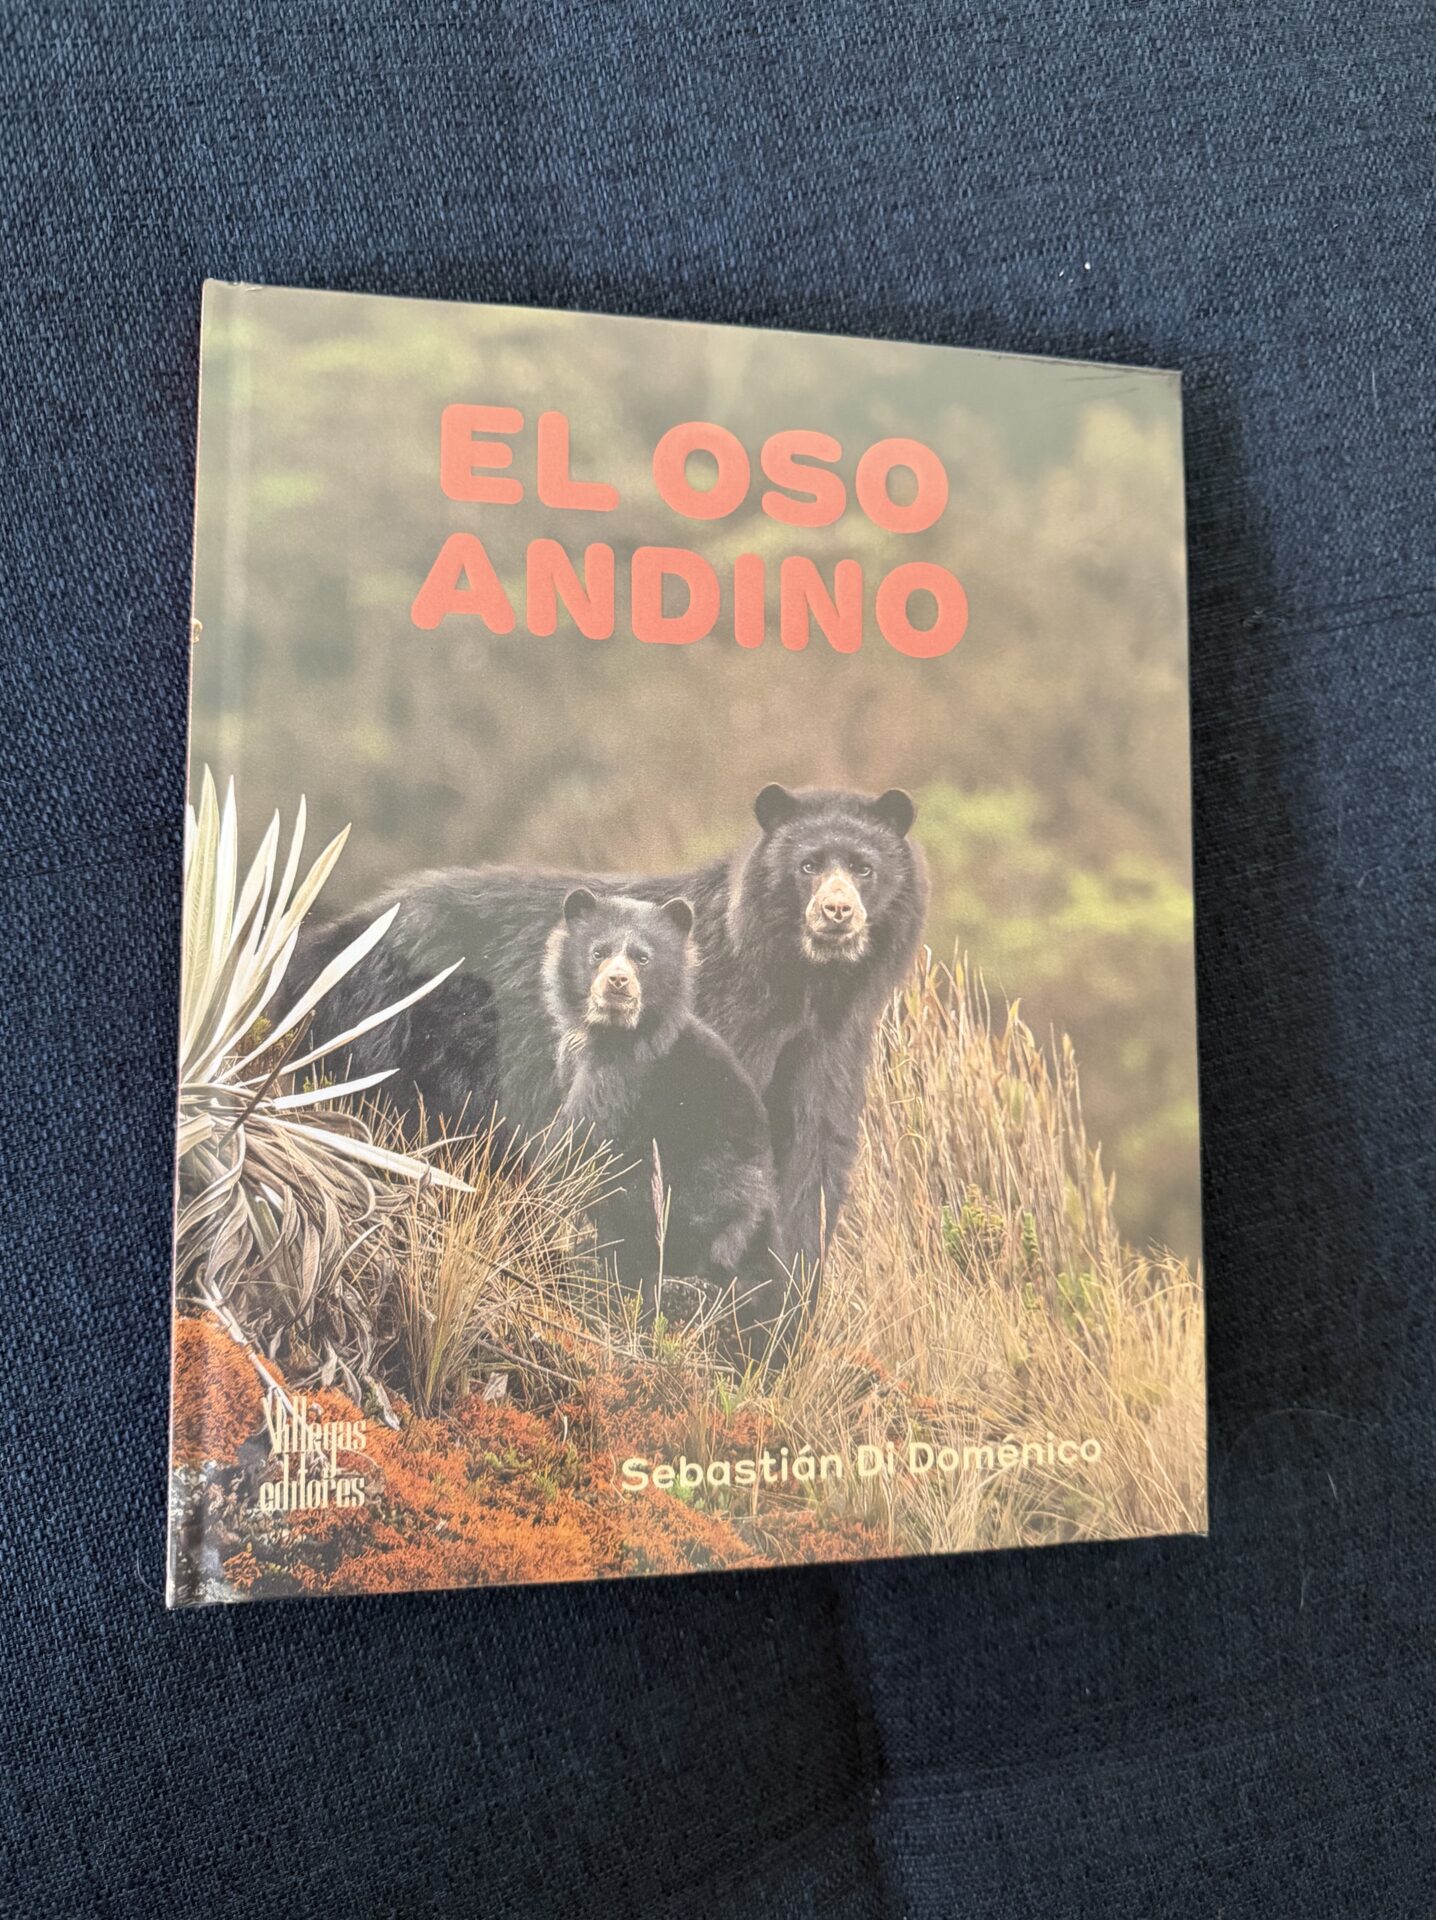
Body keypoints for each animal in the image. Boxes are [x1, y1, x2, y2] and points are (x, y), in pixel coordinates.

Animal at [541, 886, 777, 1323]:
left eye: (642, 957)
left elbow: (580, 1136)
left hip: (697, 1192)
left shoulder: (626, 1070)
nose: (617, 982)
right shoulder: (571, 1058)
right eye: (598, 952)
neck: (609, 1030)